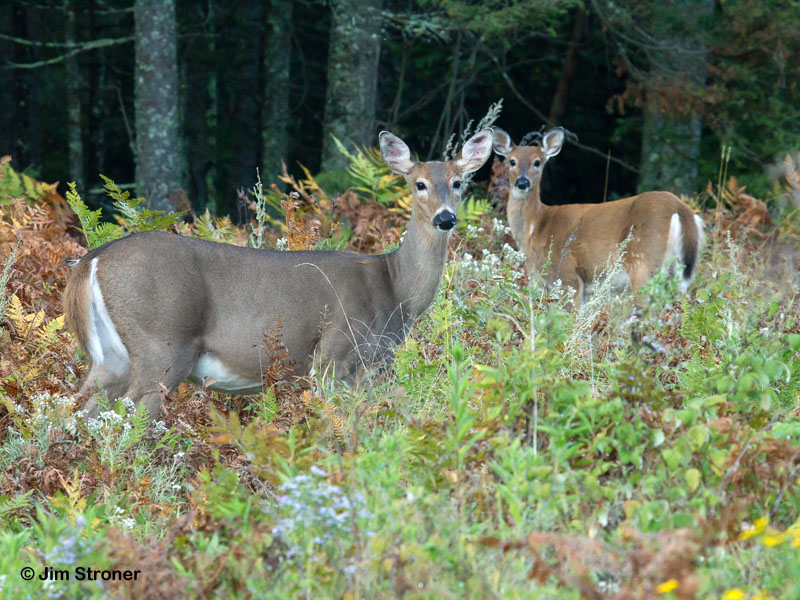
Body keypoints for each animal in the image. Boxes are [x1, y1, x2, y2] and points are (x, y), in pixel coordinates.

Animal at [63, 129, 494, 419]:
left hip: (111, 358)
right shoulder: (335, 352)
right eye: (419, 183)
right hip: (162, 342)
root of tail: (91, 260)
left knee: (74, 412)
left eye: (458, 182)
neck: (394, 291)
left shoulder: (376, 366)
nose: (445, 218)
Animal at [491, 126, 704, 311]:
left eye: (537, 162)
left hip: (644, 262)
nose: (522, 183)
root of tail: (680, 209)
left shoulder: (568, 276)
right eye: (512, 161)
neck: (535, 228)